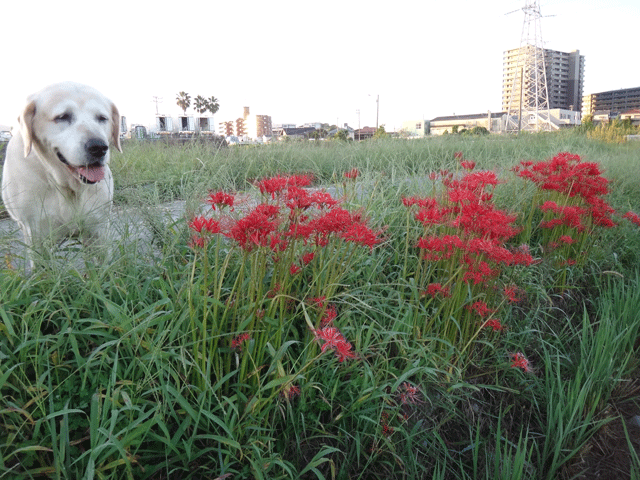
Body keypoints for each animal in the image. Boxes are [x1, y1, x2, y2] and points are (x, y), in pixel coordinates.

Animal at [0, 83, 121, 266]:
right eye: (63, 116)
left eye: (102, 118)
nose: (99, 147)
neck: (66, 185)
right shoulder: (36, 235)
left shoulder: (99, 229)